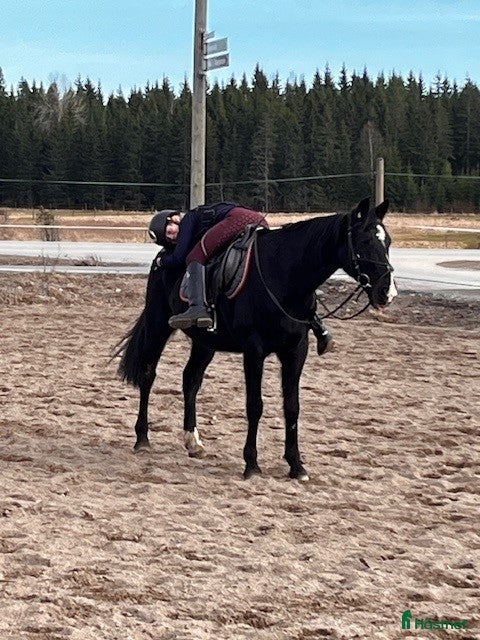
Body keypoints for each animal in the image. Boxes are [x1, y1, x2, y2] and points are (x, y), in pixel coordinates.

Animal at [116, 197, 397, 481]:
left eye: (387, 241)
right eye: (364, 241)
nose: (388, 292)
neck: (283, 275)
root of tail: (161, 257)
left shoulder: (296, 350)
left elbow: (292, 407)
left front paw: (296, 465)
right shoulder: (254, 350)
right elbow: (255, 405)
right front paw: (251, 464)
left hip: (205, 342)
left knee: (191, 380)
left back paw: (193, 441)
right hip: (157, 325)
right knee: (148, 374)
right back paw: (142, 438)